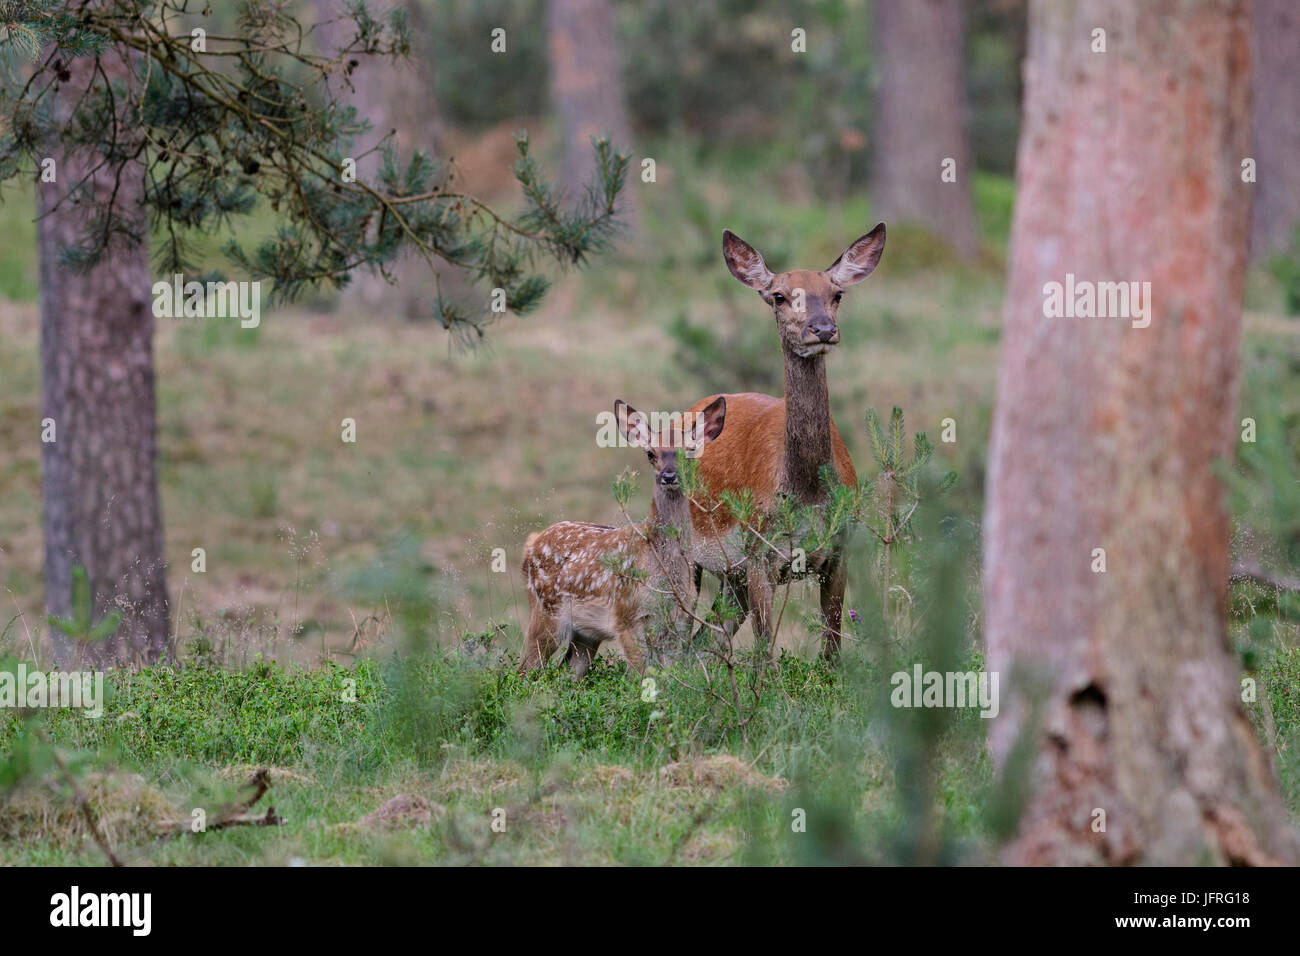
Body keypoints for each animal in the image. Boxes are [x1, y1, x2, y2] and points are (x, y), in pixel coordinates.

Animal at [520, 396, 728, 677]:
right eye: (650, 453)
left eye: (690, 450)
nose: (669, 476)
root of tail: (531, 543)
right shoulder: (626, 616)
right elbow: (642, 676)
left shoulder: (680, 620)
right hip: (545, 611)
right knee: (524, 671)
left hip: (585, 633)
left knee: (568, 672)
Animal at [684, 224, 886, 660]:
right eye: (778, 295)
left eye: (837, 293)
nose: (823, 329)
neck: (805, 491)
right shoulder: (759, 553)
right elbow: (767, 655)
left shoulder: (839, 551)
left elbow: (831, 651)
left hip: (731, 577)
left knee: (704, 639)